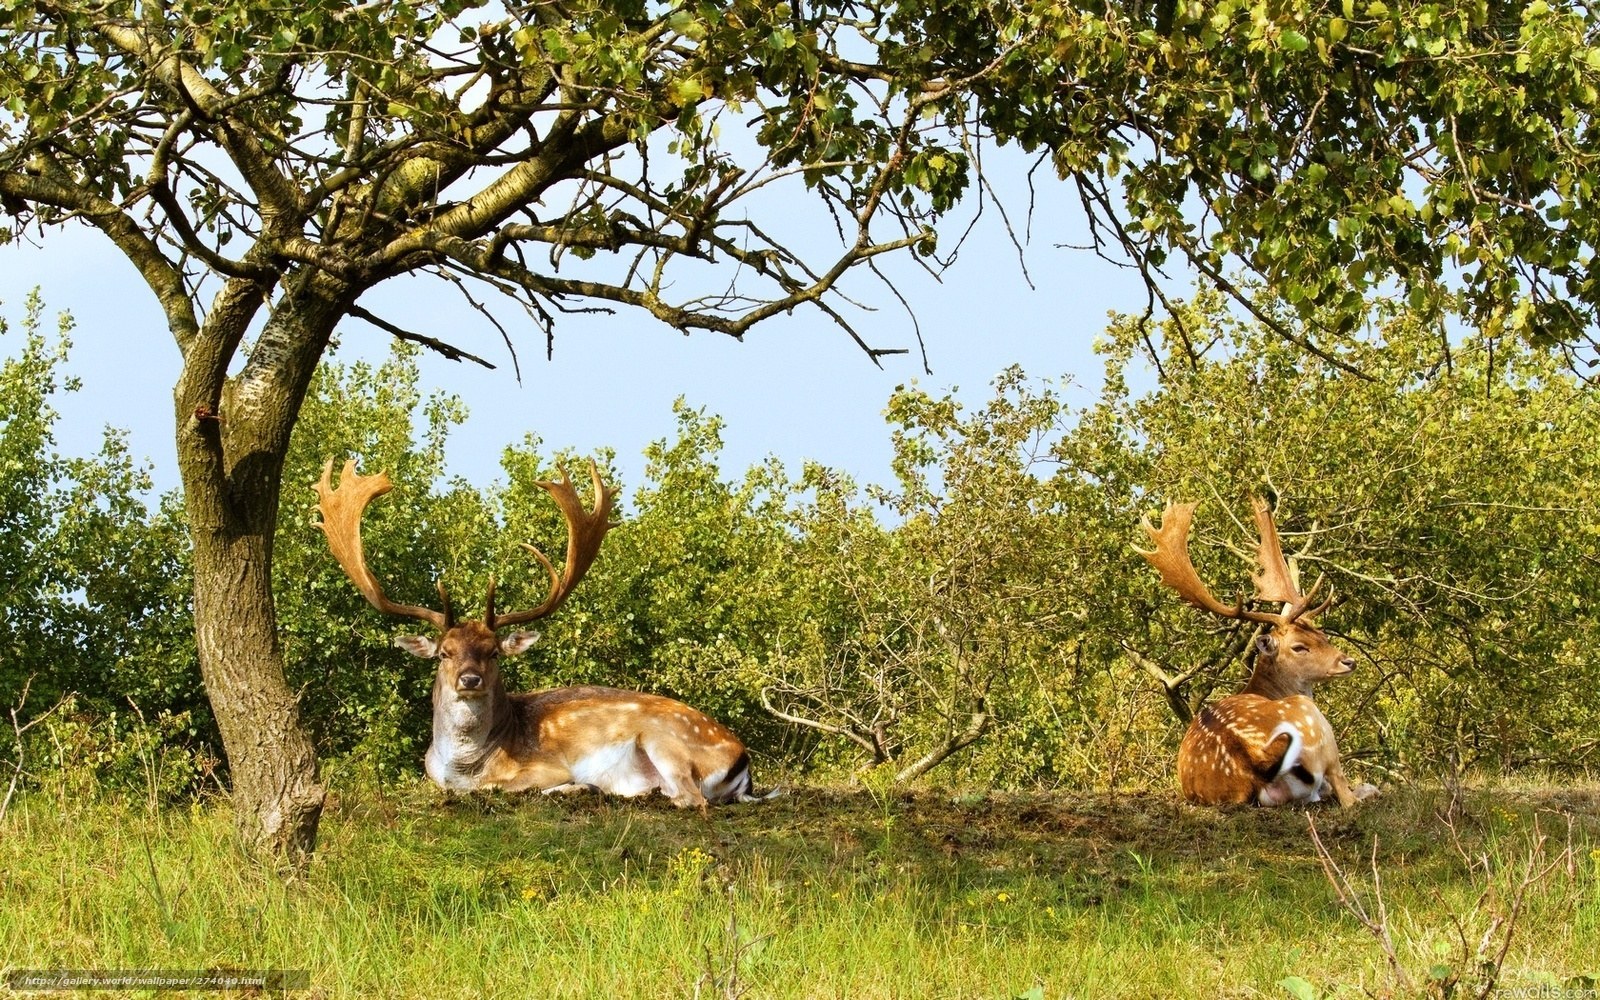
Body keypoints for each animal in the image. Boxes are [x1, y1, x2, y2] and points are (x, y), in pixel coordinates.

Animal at [314, 458, 775, 810]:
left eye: (493, 652)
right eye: (444, 652)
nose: (469, 679)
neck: (461, 765)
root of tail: (743, 761)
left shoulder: (543, 765)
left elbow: (504, 785)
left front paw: (574, 785)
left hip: (666, 739)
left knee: (690, 798)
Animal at [1136, 498, 1377, 808]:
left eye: (1322, 635)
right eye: (1299, 646)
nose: (1348, 661)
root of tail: (1255, 758)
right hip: (1312, 720)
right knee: (1345, 793)